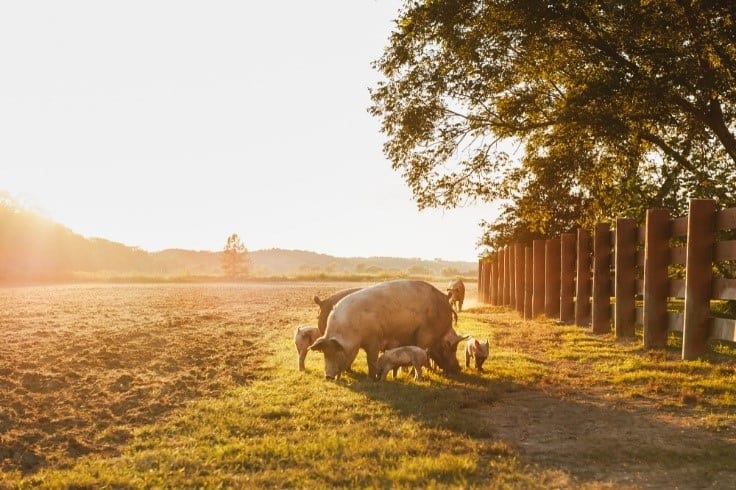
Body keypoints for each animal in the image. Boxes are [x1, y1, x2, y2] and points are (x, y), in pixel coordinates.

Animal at [310, 280, 466, 378]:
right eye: (325, 354)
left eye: (454, 349)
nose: (328, 376)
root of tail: (445, 299)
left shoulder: (374, 339)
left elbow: (371, 359)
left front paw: (372, 378)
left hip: (424, 335)